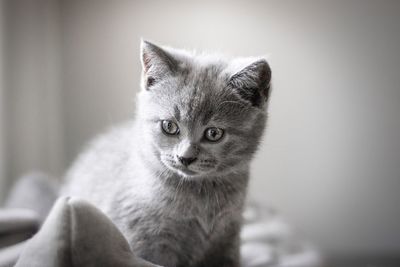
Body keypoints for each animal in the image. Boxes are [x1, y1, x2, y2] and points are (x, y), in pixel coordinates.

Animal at [61, 40, 272, 267]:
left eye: (214, 133)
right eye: (169, 126)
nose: (185, 157)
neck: (200, 196)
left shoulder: (228, 238)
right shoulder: (147, 242)